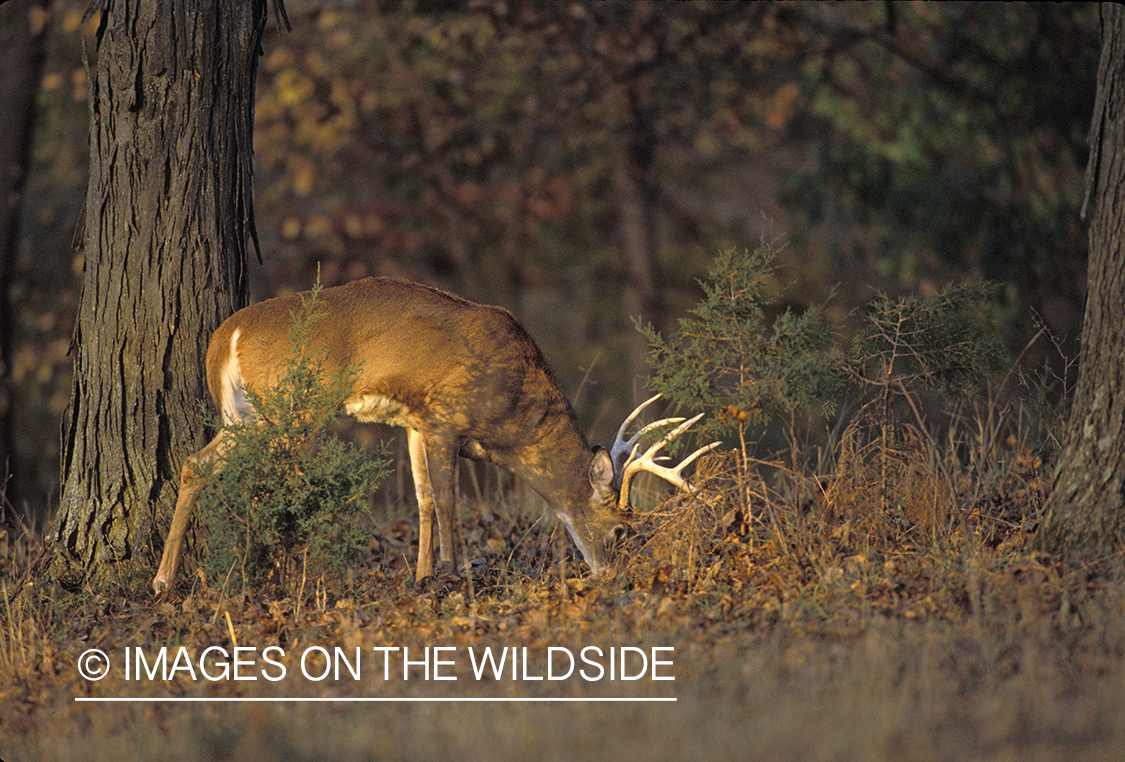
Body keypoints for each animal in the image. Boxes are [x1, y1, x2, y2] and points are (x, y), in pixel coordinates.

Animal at [151, 276, 711, 589]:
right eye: (620, 531)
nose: (611, 576)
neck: (512, 418)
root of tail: (225, 335)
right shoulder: (446, 417)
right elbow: (446, 500)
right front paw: (454, 573)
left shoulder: (416, 421)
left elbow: (421, 497)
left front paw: (421, 576)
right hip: (291, 407)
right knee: (250, 476)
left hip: (244, 414)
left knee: (196, 464)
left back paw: (170, 579)